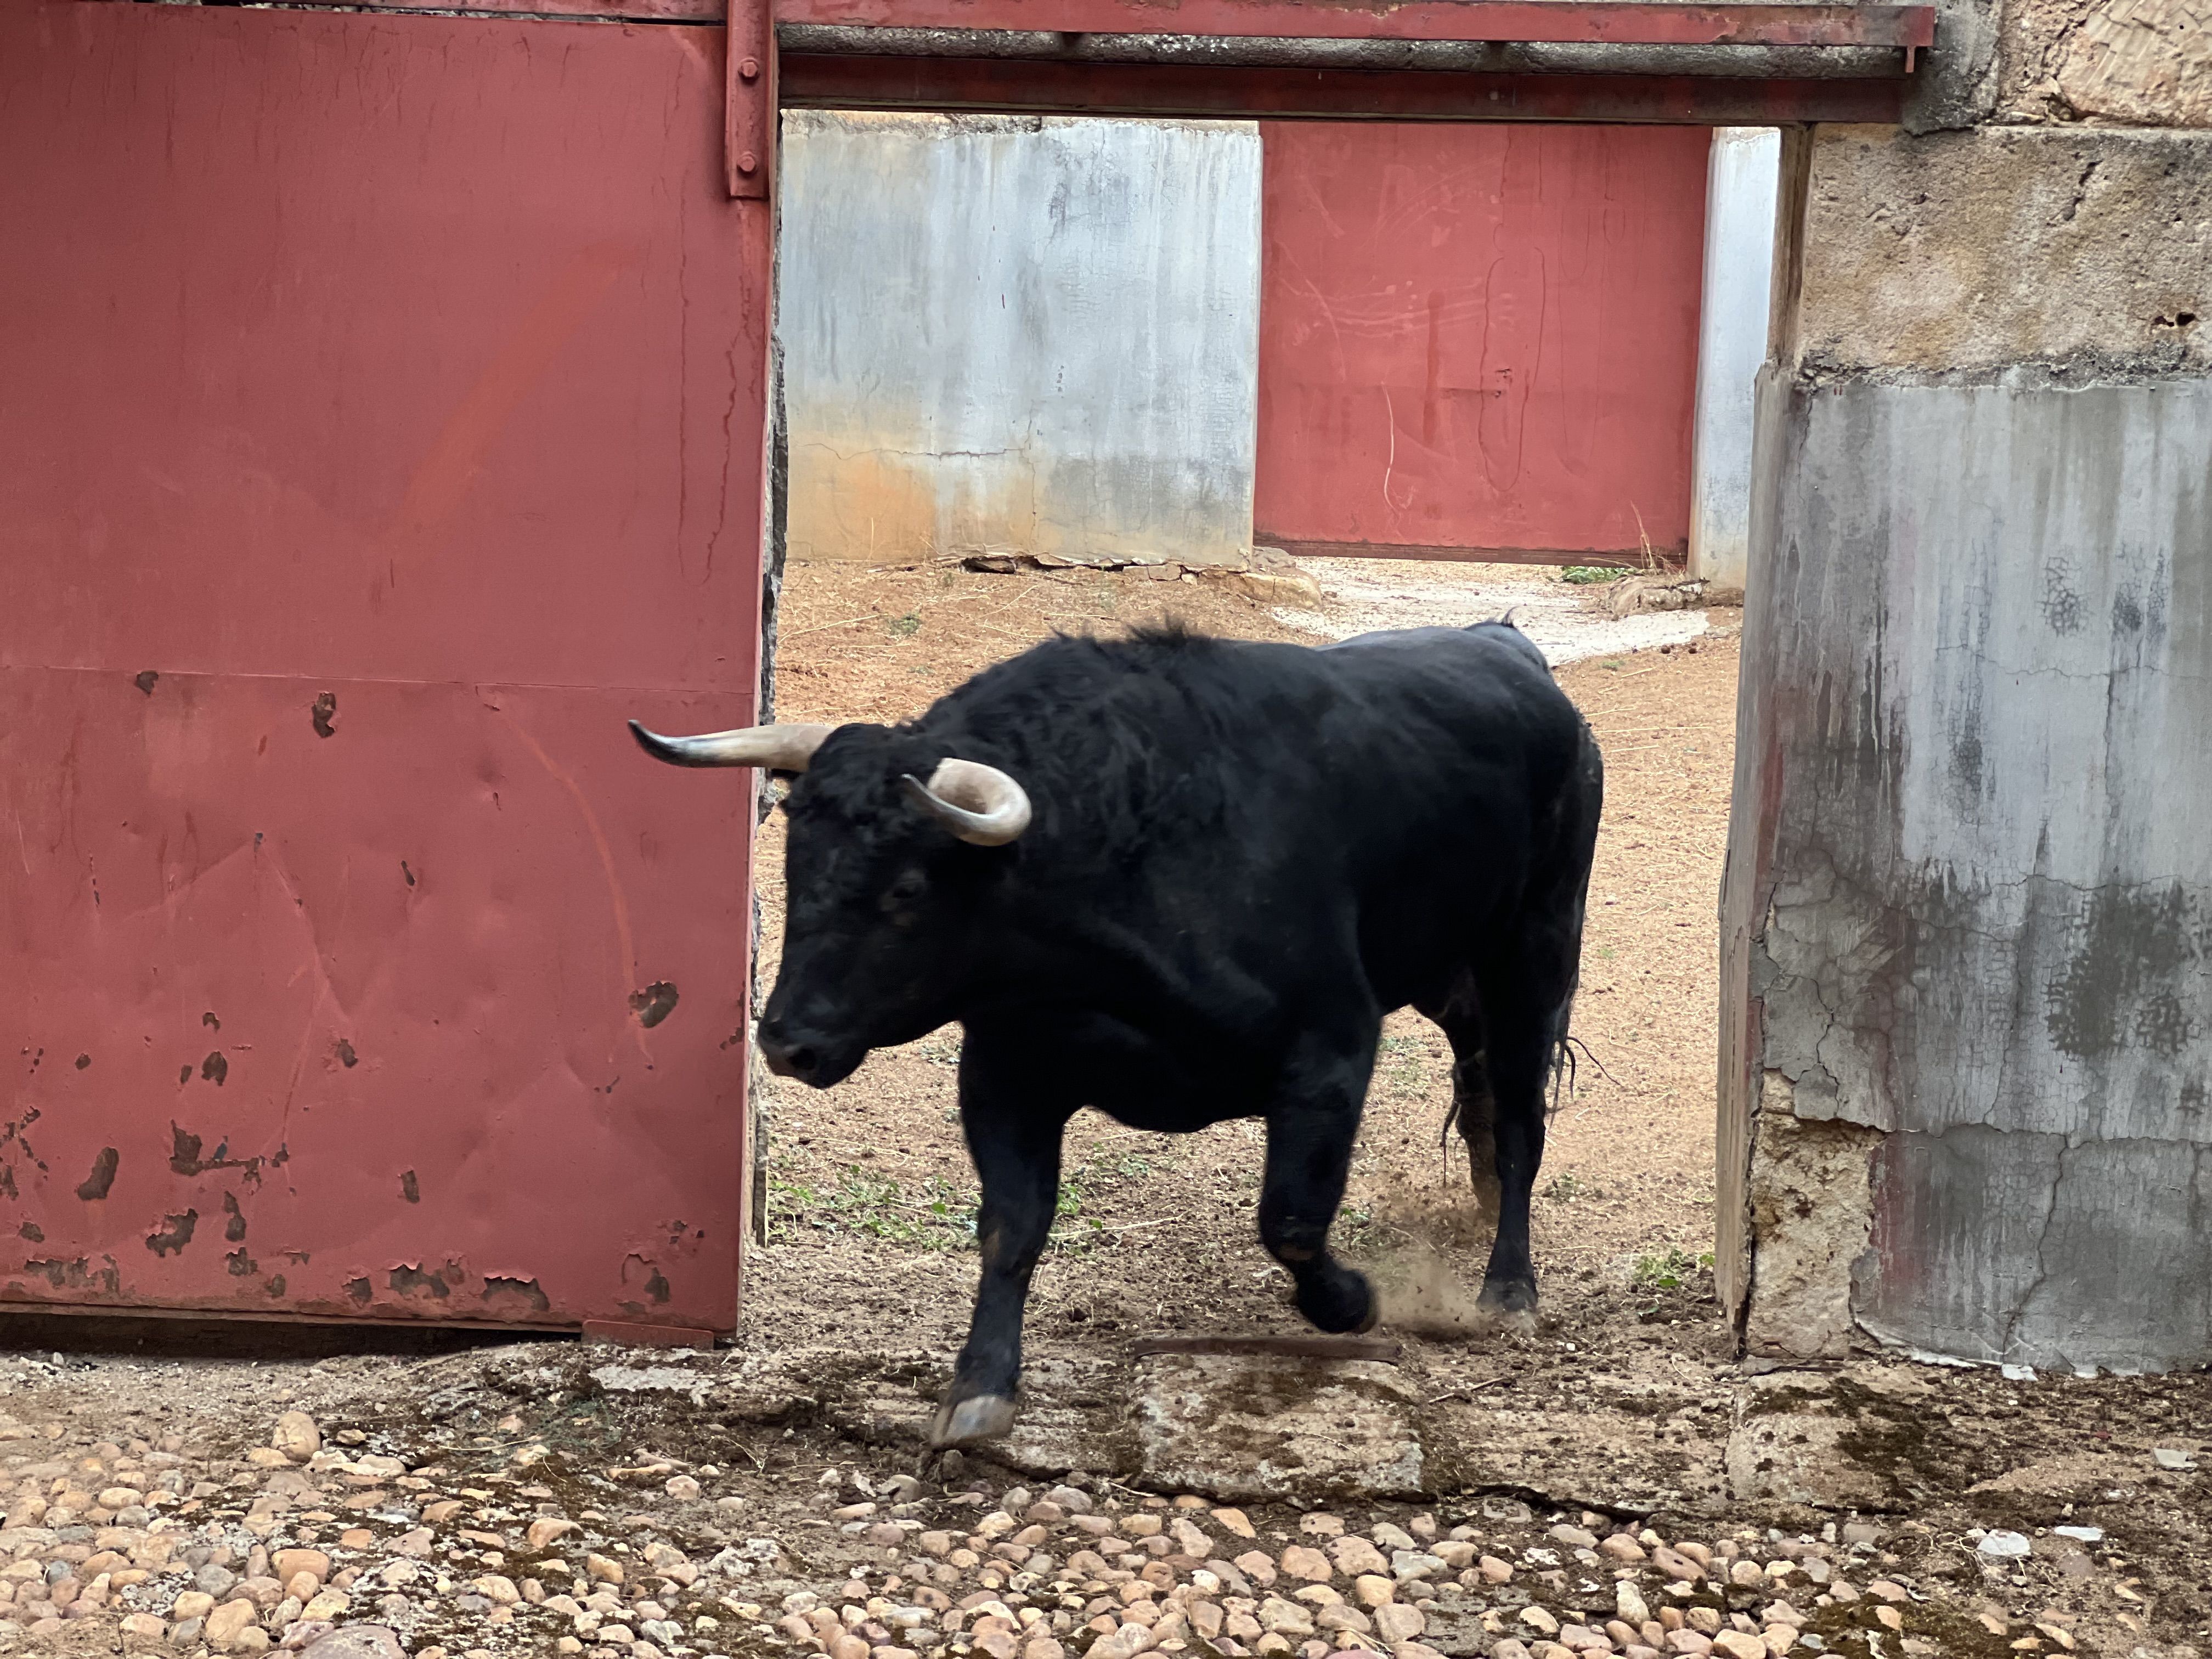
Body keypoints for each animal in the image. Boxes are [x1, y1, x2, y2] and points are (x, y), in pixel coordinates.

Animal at [633, 619, 1601, 1451]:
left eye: (906, 890)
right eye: (796, 865)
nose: (787, 1042)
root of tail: (1506, 647)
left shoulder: (1330, 1049)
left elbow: (1290, 1220)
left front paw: (1354, 1303)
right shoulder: (1006, 1073)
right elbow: (1011, 1227)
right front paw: (979, 1388)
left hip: (1535, 951)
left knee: (1520, 1110)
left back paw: (1507, 1288)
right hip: (1451, 973)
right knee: (1479, 1082)